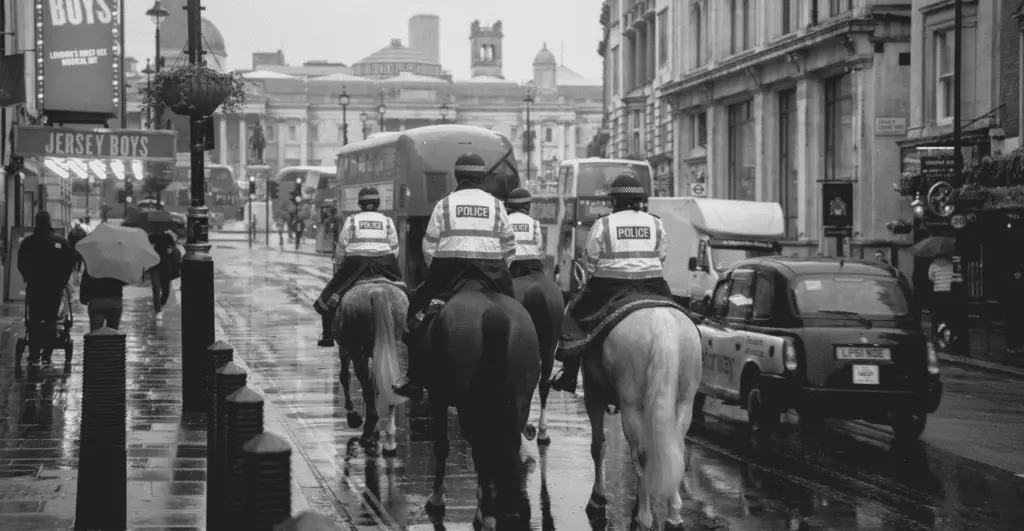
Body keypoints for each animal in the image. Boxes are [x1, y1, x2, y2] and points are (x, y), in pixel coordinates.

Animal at [333, 278, 409, 452]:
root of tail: (377, 291)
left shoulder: (345, 350)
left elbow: (344, 376)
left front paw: (353, 416)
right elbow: (377, 386)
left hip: (358, 353)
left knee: (367, 389)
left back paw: (368, 433)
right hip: (395, 348)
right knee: (391, 385)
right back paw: (389, 438)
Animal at [419, 290, 540, 531]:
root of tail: (494, 312)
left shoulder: (437, 395)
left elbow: (441, 445)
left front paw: (437, 497)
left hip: (469, 404)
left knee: (481, 448)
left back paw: (486, 514)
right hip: (519, 400)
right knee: (505, 445)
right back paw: (507, 510)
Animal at [585, 306, 704, 531]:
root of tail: (661, 320)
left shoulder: (592, 392)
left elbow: (598, 447)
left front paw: (598, 497)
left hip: (631, 406)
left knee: (641, 455)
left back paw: (644, 517)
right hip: (685, 402)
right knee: (676, 450)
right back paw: (674, 515)